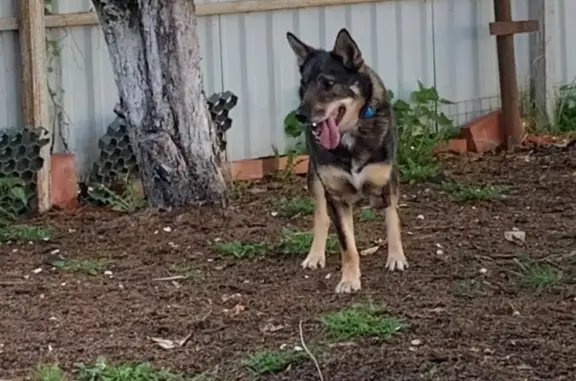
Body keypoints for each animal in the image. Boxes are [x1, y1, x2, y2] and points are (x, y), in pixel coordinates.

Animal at [286, 27, 408, 294]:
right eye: (304, 84)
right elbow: (347, 245)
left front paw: (396, 257)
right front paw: (349, 279)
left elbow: (392, 219)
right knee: (321, 216)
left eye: (329, 83)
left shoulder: (387, 179)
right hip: (315, 178)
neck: (351, 134)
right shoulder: (337, 196)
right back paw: (315, 255)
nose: (301, 115)